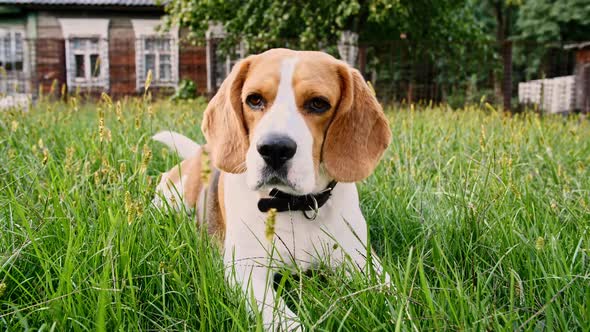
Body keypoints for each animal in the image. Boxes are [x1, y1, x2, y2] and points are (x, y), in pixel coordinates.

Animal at [153, 48, 394, 330]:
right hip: (171, 200)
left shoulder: (361, 261)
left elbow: (397, 297)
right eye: (254, 99)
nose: (274, 148)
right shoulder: (246, 271)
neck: (294, 205)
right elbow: (283, 318)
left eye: (318, 103)